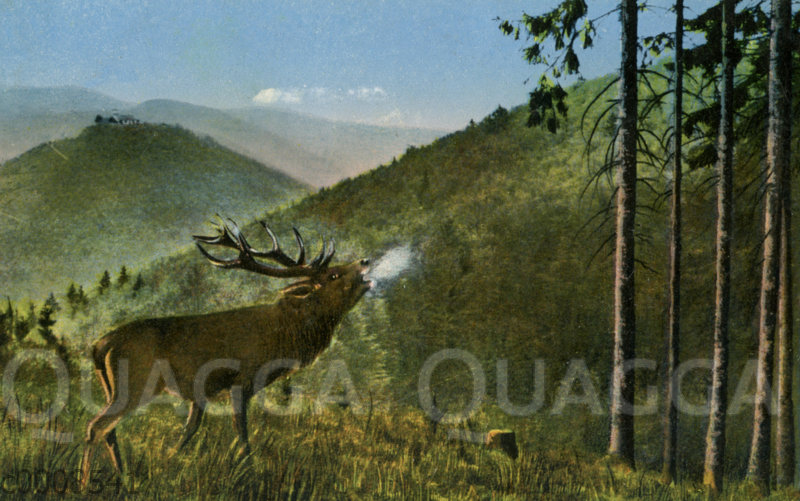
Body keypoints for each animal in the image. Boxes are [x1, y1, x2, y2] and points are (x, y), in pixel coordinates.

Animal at [80, 218, 372, 486]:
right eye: (333, 275)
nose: (365, 260)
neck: (282, 336)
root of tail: (99, 345)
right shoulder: (241, 379)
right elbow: (241, 431)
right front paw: (249, 473)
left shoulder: (200, 393)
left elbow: (190, 429)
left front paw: (169, 458)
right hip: (135, 384)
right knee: (96, 426)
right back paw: (84, 483)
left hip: (112, 388)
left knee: (109, 430)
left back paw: (122, 476)